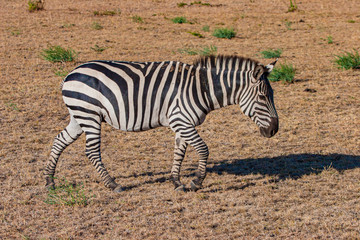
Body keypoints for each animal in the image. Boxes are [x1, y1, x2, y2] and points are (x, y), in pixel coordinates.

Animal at [44, 55, 278, 192]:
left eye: (271, 95)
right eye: (262, 97)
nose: (274, 130)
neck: (201, 88)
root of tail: (70, 74)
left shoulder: (182, 123)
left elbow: (179, 152)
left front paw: (176, 182)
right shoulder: (181, 120)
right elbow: (204, 149)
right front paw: (196, 182)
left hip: (79, 116)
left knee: (59, 140)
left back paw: (49, 181)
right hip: (89, 115)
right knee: (92, 151)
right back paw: (113, 184)